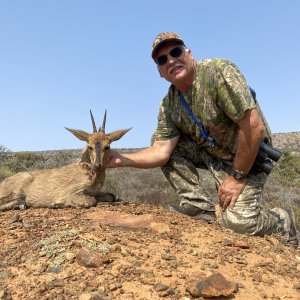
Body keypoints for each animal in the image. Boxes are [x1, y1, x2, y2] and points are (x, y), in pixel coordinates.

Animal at [0, 110, 131, 211]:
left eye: (107, 146)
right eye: (90, 146)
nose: (98, 165)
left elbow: (111, 196)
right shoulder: (71, 193)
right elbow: (91, 201)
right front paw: (56, 204)